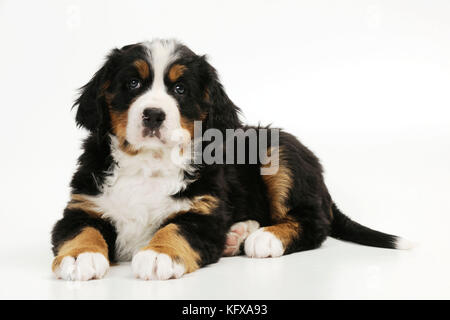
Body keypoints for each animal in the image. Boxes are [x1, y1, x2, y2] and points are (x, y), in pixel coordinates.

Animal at [50, 39, 412, 280]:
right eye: (133, 83)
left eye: (180, 90)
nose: (153, 115)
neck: (149, 164)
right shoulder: (83, 206)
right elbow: (81, 231)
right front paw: (81, 257)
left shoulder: (203, 213)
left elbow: (175, 229)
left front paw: (157, 254)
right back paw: (238, 233)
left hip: (278, 154)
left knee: (314, 221)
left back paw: (263, 238)